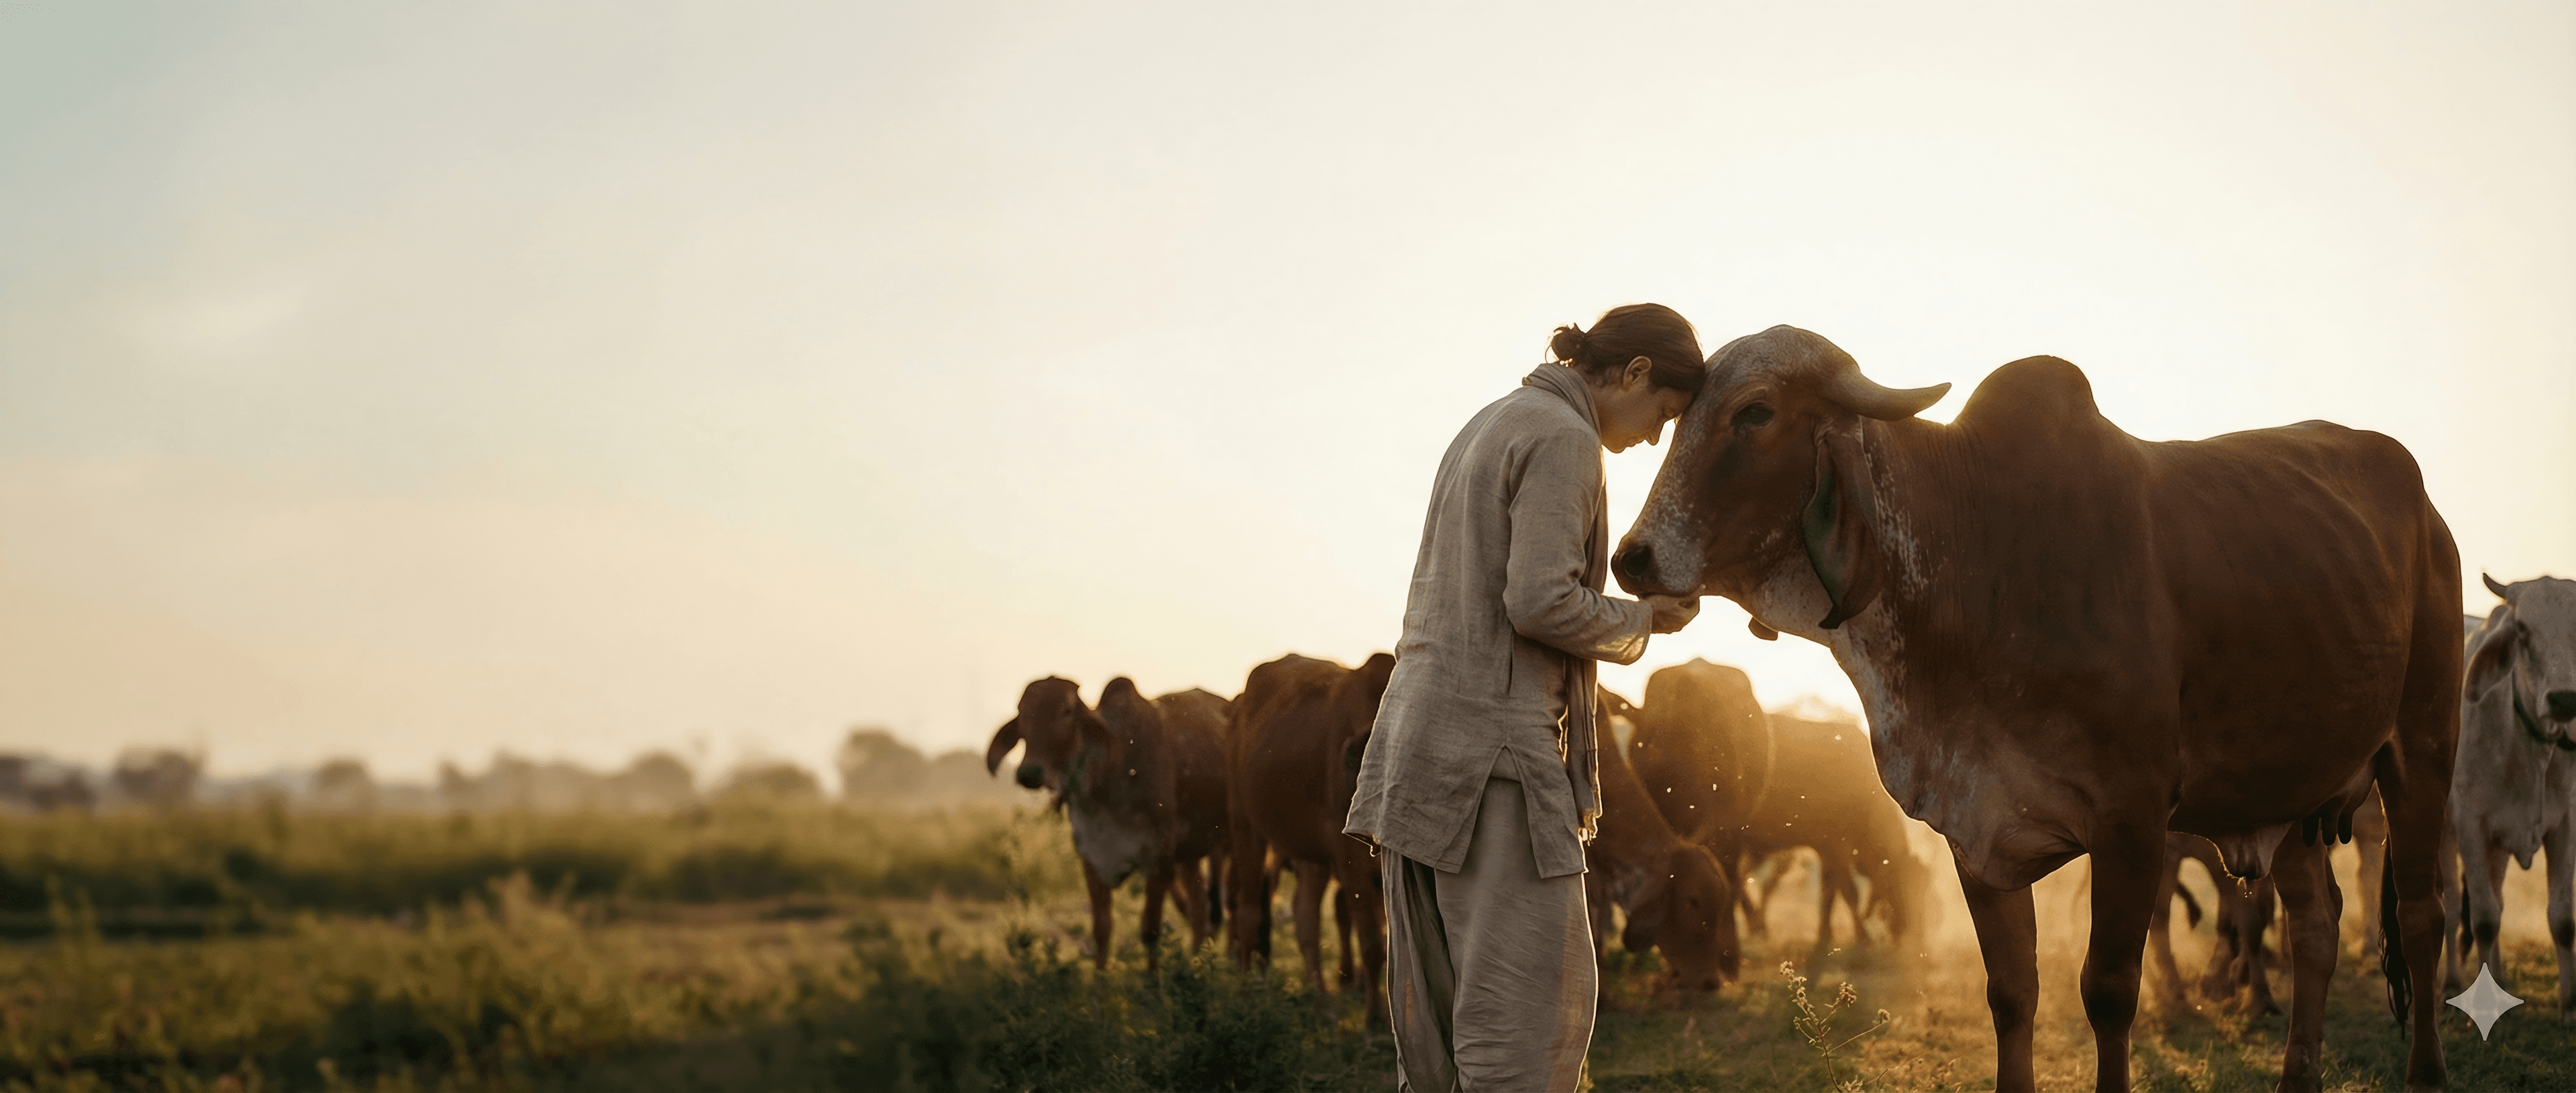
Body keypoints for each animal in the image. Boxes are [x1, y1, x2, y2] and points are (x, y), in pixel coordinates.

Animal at [984, 676, 1230, 972]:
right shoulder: (1092, 859)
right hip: (1189, 856)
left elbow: (1151, 931)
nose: (1029, 773)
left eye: (1067, 711)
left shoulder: (1158, 861)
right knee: (1199, 907)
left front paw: (1153, 981)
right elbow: (1102, 930)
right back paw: (1197, 962)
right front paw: (1100, 983)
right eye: (1022, 713)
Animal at [1226, 652, 1392, 1025]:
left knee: (1306, 921)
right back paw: (1243, 994)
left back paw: (1322, 1003)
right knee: (1248, 915)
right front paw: (1375, 1023)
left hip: (1310, 856)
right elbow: (1373, 944)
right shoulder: (1350, 863)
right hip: (1246, 829)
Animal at [1611, 325, 2461, 1092]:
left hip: (2422, 749)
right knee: (2316, 928)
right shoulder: (1976, 831)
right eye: (1681, 416)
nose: (1632, 557)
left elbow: (2110, 992)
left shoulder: (2131, 822)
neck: (1980, 558)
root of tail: (2427, 507)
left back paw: (2426, 1071)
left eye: (1755, 412)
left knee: (2422, 916)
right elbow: (2012, 995)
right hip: (2289, 793)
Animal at [2442, 575, 2576, 1014]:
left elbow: (2562, 919)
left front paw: (2569, 1002)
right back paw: (2452, 981)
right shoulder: (2470, 824)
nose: (2563, 699)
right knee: (2453, 908)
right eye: (2521, 630)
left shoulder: (2565, 825)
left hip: (2496, 847)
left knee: (2498, 899)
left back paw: (2498, 976)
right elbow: (2483, 919)